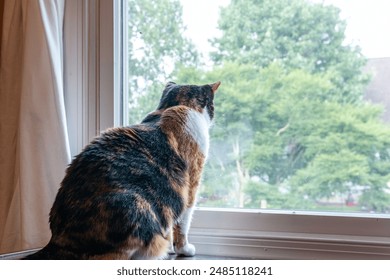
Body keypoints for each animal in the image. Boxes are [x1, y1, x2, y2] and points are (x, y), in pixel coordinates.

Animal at [23, 81, 219, 260]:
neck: (171, 106)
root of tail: (59, 239)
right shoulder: (190, 184)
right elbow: (183, 222)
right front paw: (184, 249)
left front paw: (172, 248)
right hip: (138, 206)